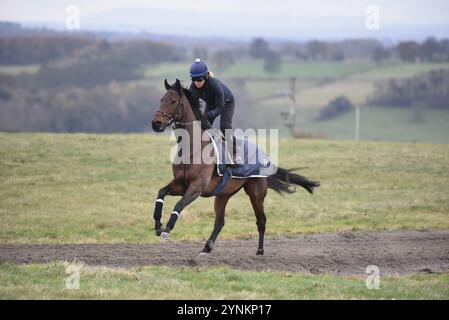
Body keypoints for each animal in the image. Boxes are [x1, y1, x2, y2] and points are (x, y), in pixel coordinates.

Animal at [151, 79, 318, 255]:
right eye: (161, 99)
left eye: (173, 101)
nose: (156, 123)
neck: (191, 148)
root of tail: (264, 156)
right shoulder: (180, 184)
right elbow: (161, 192)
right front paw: (158, 225)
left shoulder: (197, 187)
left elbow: (179, 204)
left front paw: (166, 229)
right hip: (223, 194)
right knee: (220, 222)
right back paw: (206, 247)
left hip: (255, 193)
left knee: (261, 220)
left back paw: (260, 250)